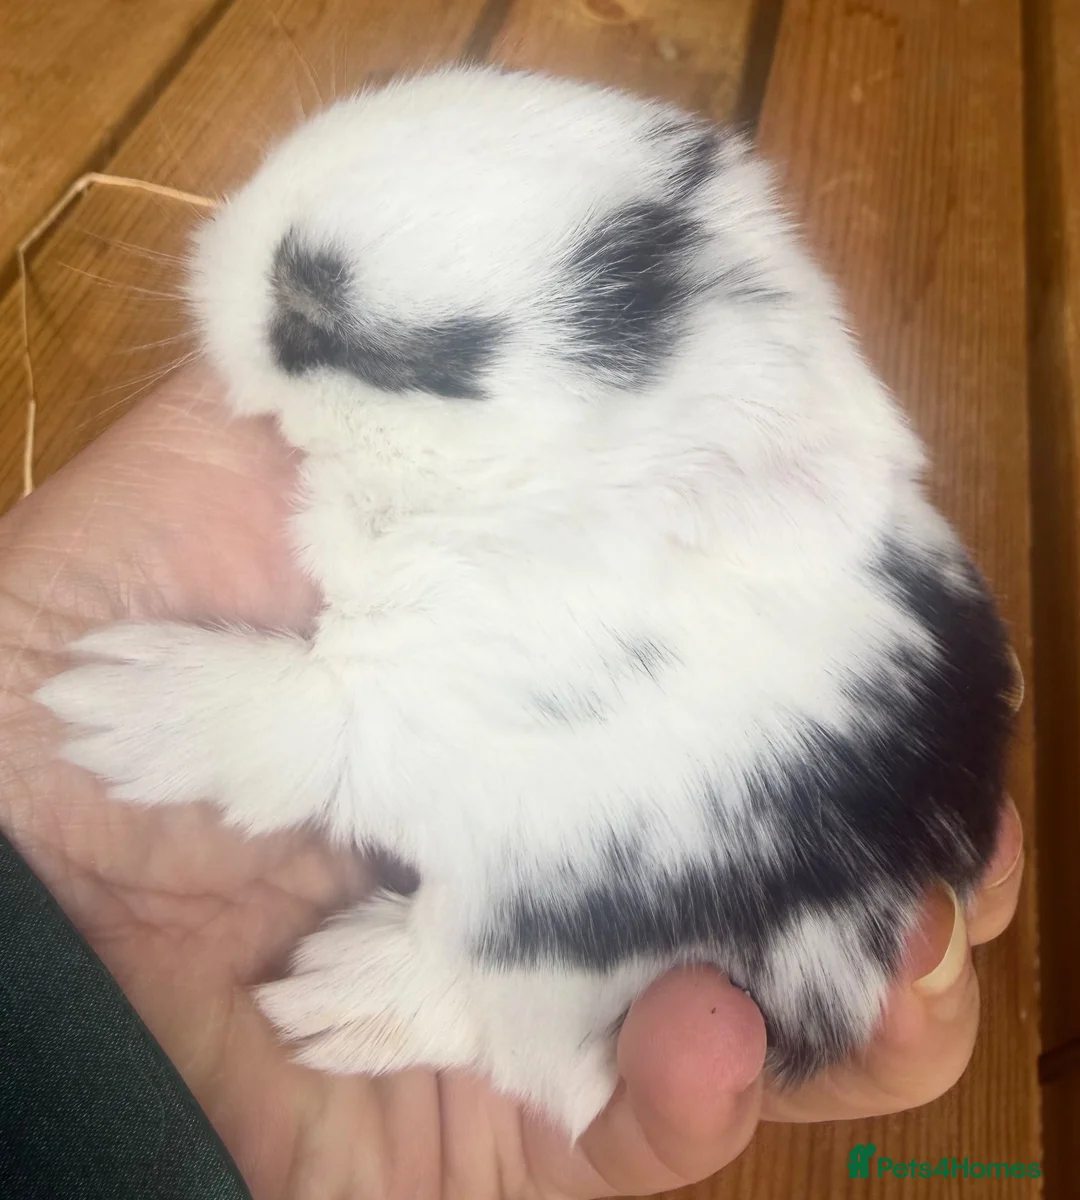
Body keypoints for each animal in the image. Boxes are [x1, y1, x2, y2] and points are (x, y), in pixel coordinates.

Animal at [37, 65, 1016, 1138]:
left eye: (349, 333)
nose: (214, 245)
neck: (531, 501)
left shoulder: (412, 702)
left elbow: (304, 713)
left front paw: (106, 702)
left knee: (515, 1040)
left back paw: (325, 998)